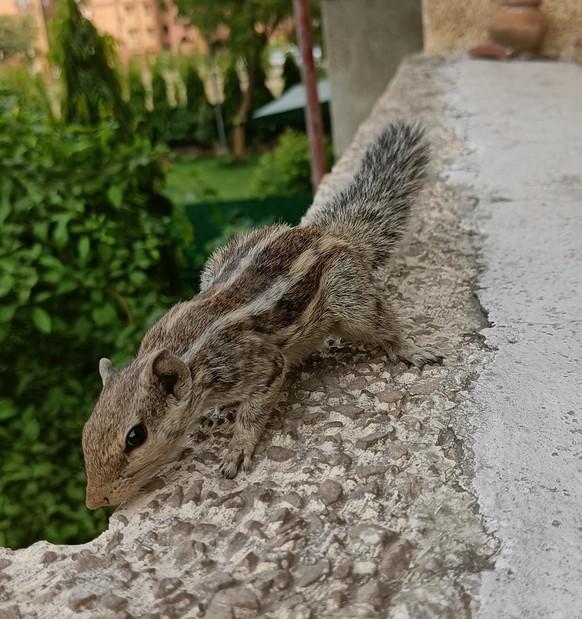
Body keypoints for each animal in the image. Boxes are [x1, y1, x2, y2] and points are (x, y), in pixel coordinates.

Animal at [82, 121, 444, 508]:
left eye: (135, 437)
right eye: (86, 431)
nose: (95, 501)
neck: (187, 351)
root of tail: (328, 231)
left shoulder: (258, 363)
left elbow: (254, 409)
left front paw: (236, 449)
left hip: (351, 299)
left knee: (382, 323)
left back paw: (408, 348)